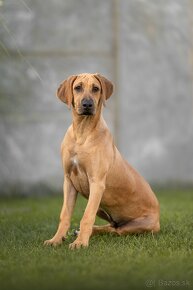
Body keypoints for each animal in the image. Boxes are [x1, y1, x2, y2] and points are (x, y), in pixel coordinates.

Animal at [44, 72, 160, 249]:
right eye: (78, 88)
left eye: (96, 89)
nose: (87, 104)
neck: (83, 132)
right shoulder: (68, 181)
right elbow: (65, 214)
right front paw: (56, 239)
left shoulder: (97, 182)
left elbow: (87, 216)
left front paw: (80, 243)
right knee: (111, 226)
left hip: (141, 224)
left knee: (116, 231)